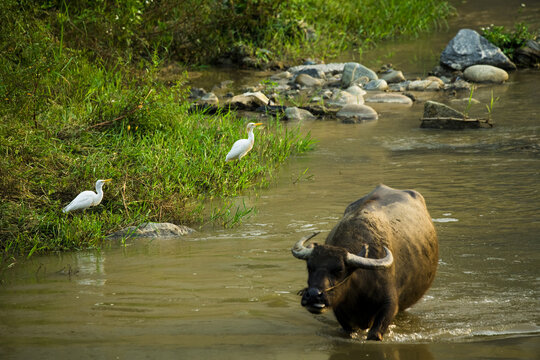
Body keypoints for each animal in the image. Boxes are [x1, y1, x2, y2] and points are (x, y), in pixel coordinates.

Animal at [292, 186, 438, 340]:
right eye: (309, 267)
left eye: (339, 270)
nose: (313, 295)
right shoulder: (341, 311)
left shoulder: (389, 305)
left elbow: (375, 334)